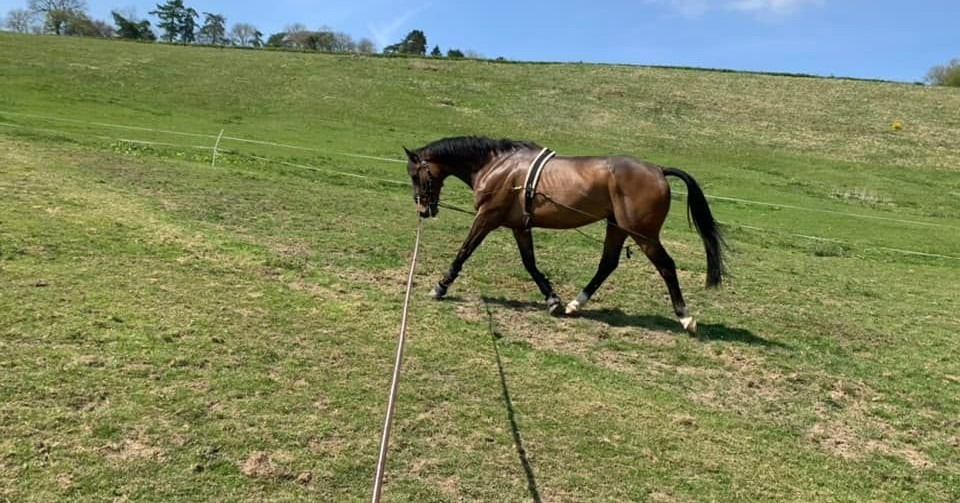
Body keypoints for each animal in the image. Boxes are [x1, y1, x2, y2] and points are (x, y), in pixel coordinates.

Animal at [403, 136, 725, 335]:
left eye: (415, 175)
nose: (422, 209)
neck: (497, 167)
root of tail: (658, 169)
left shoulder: (487, 218)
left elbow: (464, 251)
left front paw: (441, 286)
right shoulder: (520, 226)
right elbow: (530, 264)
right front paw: (553, 299)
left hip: (643, 233)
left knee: (666, 266)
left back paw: (685, 317)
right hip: (617, 227)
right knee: (607, 264)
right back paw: (575, 304)